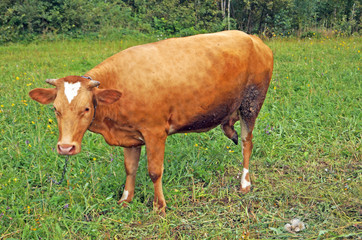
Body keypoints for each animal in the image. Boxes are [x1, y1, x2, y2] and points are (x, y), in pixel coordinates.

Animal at [29, 30, 272, 216]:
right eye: (55, 109)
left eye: (86, 109)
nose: (65, 147)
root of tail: (251, 37)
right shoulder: (130, 136)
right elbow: (130, 168)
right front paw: (125, 199)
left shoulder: (155, 132)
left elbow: (155, 171)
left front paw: (159, 206)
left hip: (251, 103)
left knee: (247, 143)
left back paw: (245, 183)